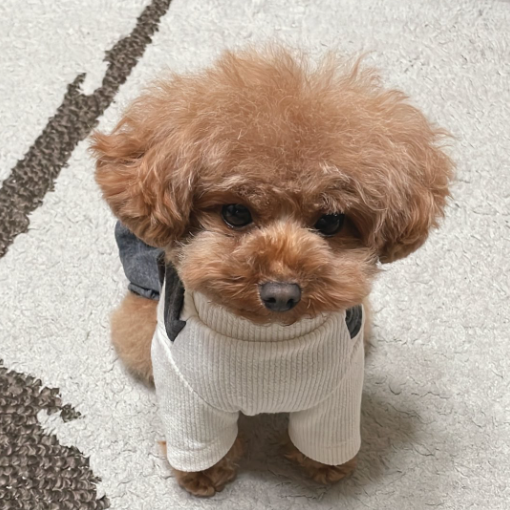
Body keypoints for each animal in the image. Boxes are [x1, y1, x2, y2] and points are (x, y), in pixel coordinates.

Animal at [91, 46, 453, 496]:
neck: (264, 341)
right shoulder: (188, 393)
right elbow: (199, 440)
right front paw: (204, 475)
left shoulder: (336, 391)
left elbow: (325, 438)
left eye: (332, 221)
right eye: (235, 212)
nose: (281, 294)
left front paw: (325, 467)